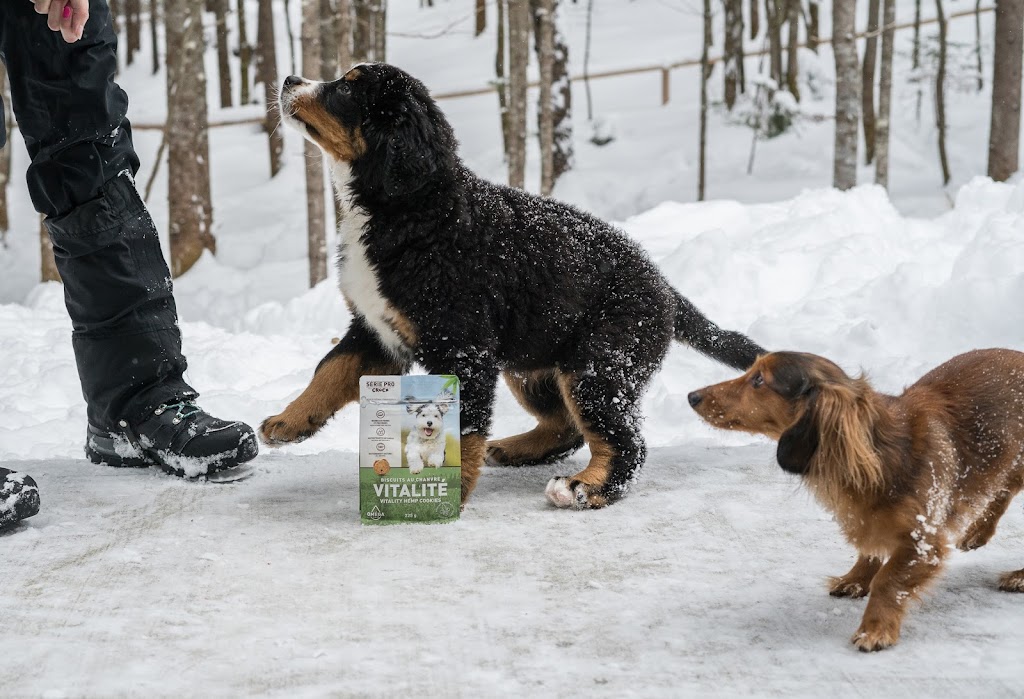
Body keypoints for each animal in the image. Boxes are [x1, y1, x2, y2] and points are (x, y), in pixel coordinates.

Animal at [264, 64, 761, 507]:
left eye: (347, 88)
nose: (288, 79)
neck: (410, 209)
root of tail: (663, 285)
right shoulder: (376, 327)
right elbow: (330, 368)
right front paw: (289, 421)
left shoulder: (462, 346)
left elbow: (464, 427)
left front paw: (451, 491)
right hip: (533, 361)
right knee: (567, 426)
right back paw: (516, 449)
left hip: (599, 362)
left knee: (623, 442)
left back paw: (584, 488)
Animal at [688, 352, 1024, 654]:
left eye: (758, 379)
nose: (692, 396)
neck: (878, 451)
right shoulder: (870, 521)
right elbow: (870, 550)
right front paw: (856, 579)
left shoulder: (923, 541)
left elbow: (888, 581)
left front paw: (875, 630)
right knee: (1004, 489)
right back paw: (978, 532)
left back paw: (1018, 576)